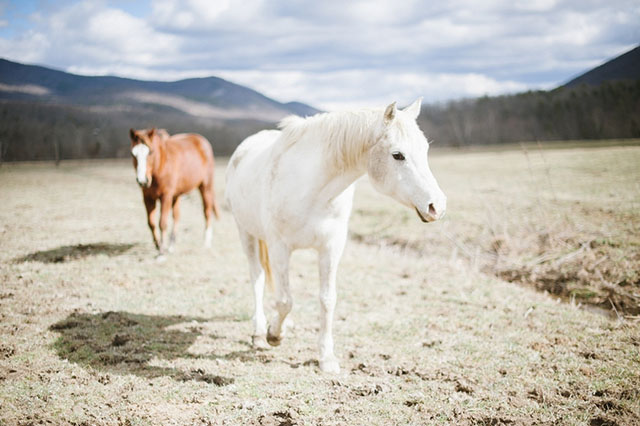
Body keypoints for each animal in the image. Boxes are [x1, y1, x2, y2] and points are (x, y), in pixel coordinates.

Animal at [129, 127, 221, 256]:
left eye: (150, 152)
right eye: (133, 154)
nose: (142, 180)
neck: (160, 166)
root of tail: (202, 140)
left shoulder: (166, 196)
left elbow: (162, 223)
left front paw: (161, 252)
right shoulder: (148, 198)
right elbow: (151, 223)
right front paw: (158, 245)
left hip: (205, 187)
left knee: (207, 211)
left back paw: (206, 243)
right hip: (176, 195)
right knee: (177, 216)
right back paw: (172, 244)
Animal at [225, 98, 444, 372]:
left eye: (425, 149)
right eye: (398, 155)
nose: (436, 206)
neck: (312, 189)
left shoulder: (331, 248)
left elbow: (327, 300)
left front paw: (326, 358)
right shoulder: (279, 248)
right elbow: (285, 300)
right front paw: (274, 335)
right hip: (246, 233)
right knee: (257, 277)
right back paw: (258, 332)